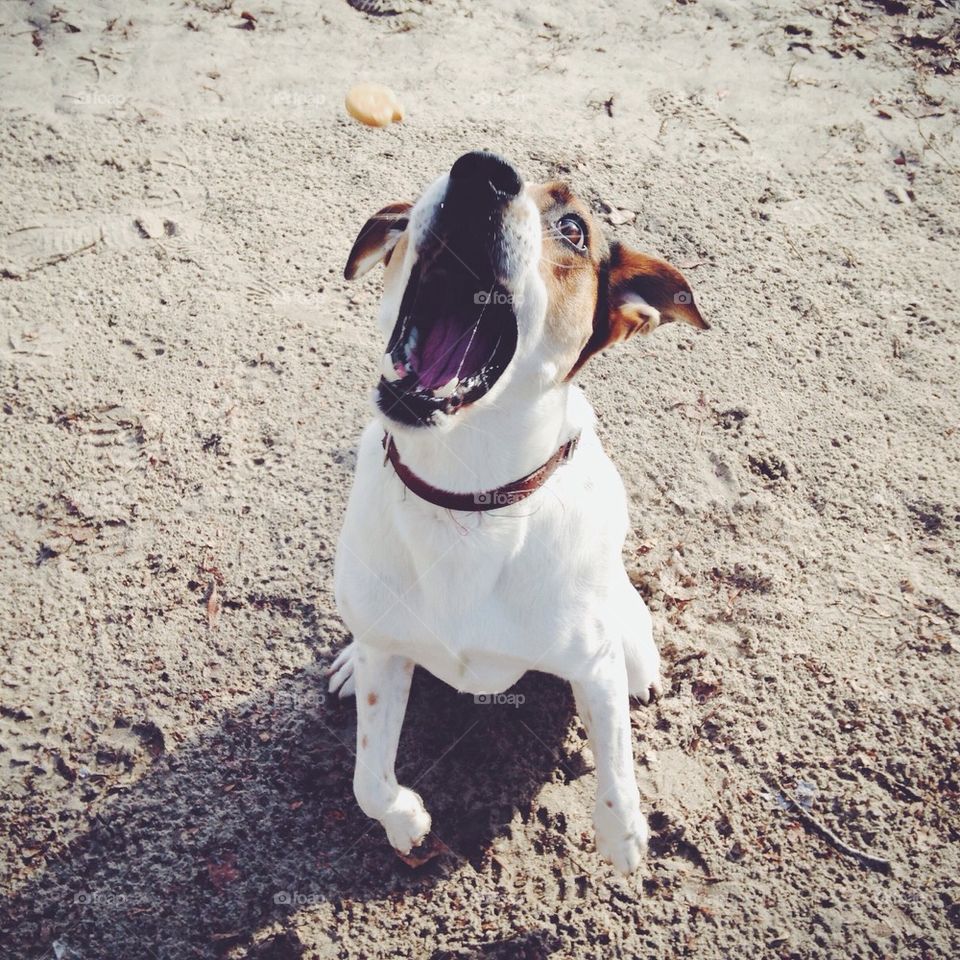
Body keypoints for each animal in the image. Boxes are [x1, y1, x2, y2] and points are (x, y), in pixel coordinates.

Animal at [330, 152, 704, 876]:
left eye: (574, 228)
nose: (480, 171)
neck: (466, 500)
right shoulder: (387, 656)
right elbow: (365, 781)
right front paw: (405, 822)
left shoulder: (593, 666)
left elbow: (617, 764)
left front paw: (623, 837)